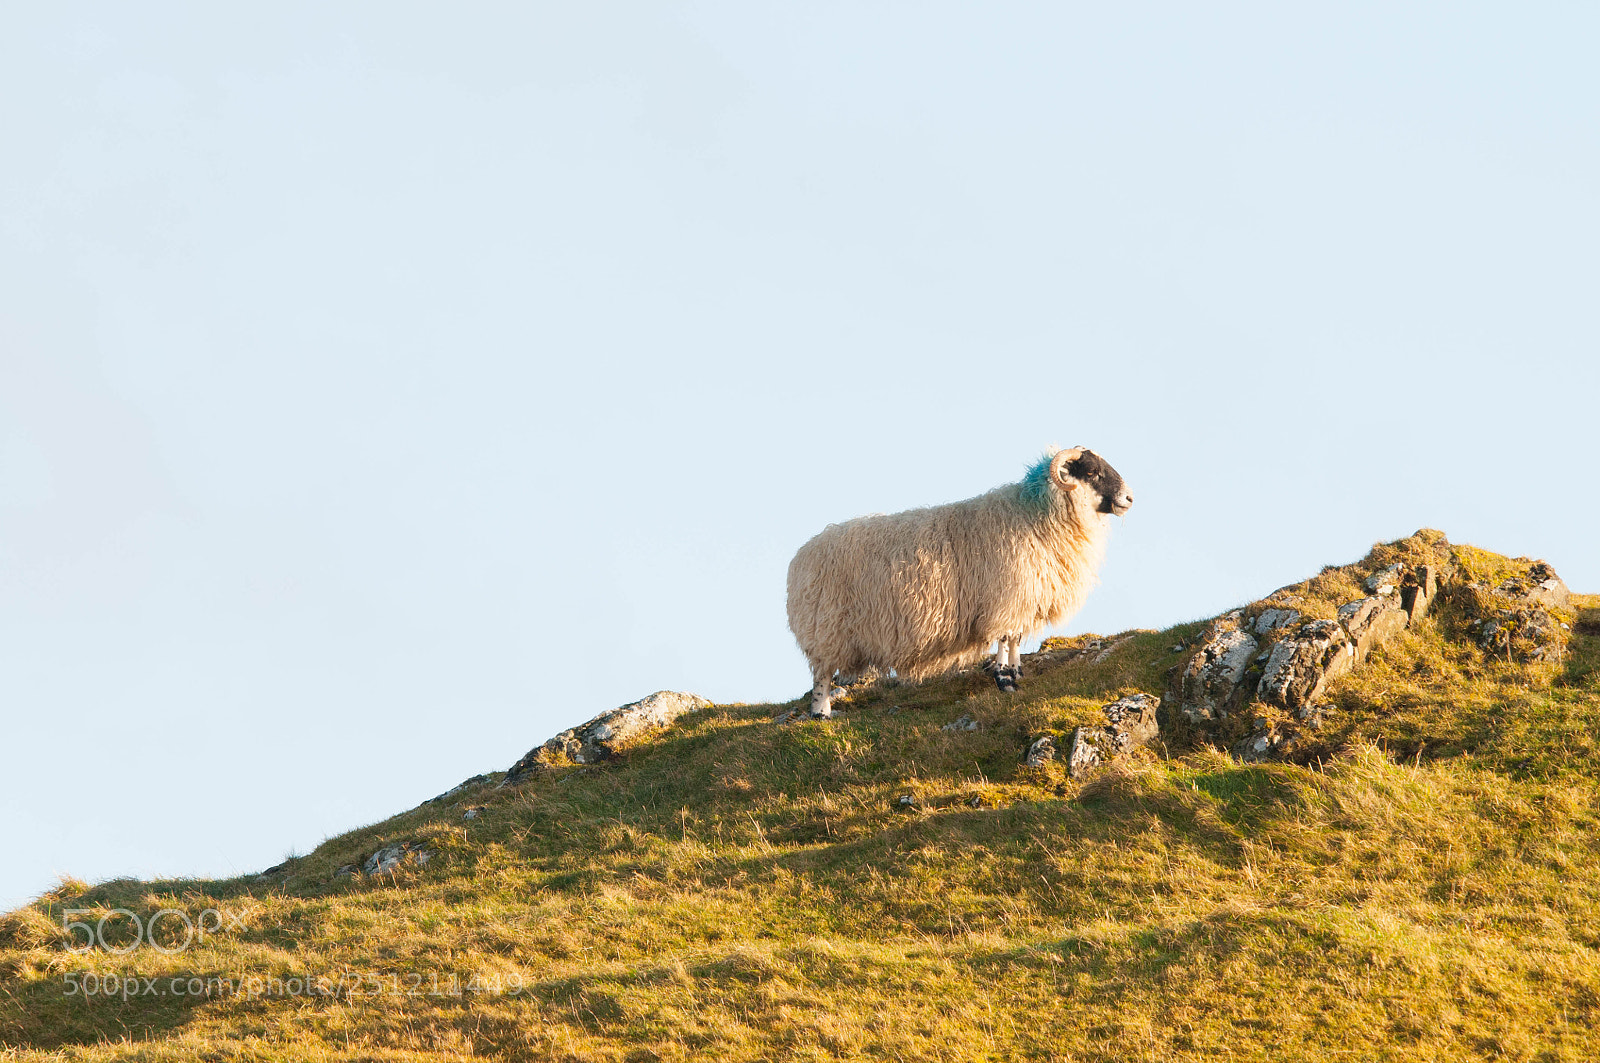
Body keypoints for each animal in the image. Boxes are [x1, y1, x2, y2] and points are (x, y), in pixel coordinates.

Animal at [786, 446, 1132, 718]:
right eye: (1093, 472)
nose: (1129, 498)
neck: (1033, 515)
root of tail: (801, 556)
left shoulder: (1022, 598)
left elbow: (1016, 639)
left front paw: (1017, 673)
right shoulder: (1005, 597)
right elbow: (1004, 638)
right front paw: (1005, 681)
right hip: (827, 628)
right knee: (821, 674)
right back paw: (821, 713)